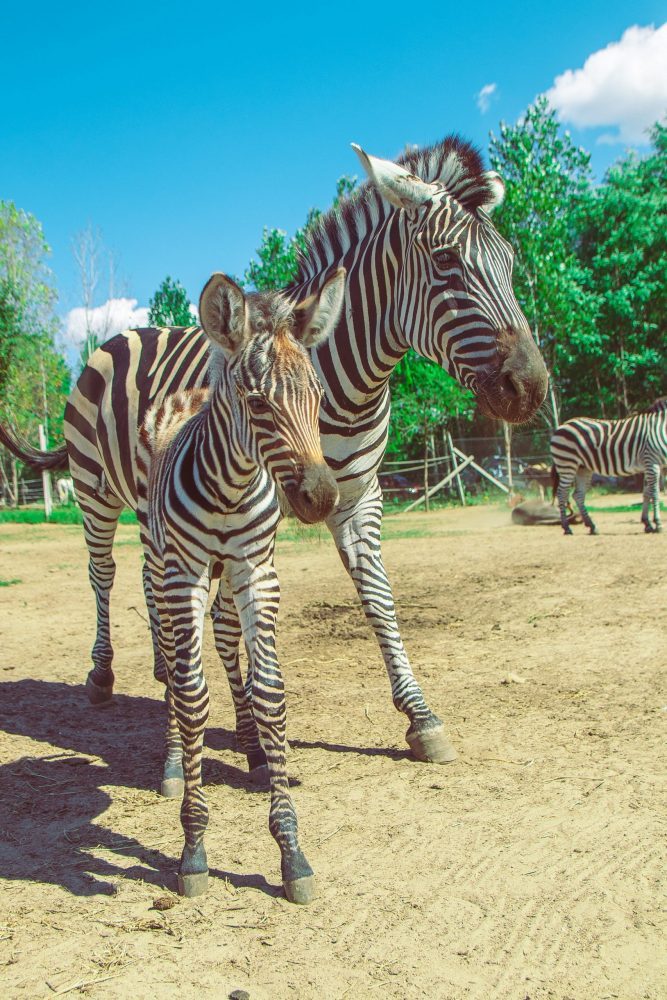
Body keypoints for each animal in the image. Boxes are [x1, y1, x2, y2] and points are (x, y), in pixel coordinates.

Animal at [0, 137, 548, 769]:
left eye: (510, 263)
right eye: (445, 261)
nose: (532, 387)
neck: (344, 384)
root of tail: (125, 332)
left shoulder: (357, 498)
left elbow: (378, 597)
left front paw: (420, 716)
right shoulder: (253, 509)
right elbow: (229, 621)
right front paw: (251, 736)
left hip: (151, 504)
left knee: (148, 576)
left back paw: (165, 666)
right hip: (94, 490)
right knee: (103, 572)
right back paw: (102, 675)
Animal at [137, 270, 344, 901]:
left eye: (318, 398)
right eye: (257, 404)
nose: (321, 498)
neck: (230, 490)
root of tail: (187, 396)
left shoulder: (258, 572)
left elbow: (270, 692)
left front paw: (290, 850)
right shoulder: (183, 575)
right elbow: (190, 695)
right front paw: (193, 847)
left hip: (226, 579)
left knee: (227, 644)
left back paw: (253, 748)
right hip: (160, 567)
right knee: (173, 664)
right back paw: (173, 766)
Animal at [551, 398, 667, 535]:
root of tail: (562, 425)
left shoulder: (648, 466)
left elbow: (646, 493)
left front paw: (647, 524)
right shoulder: (652, 463)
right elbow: (655, 493)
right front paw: (658, 524)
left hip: (582, 467)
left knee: (578, 495)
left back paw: (592, 526)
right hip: (567, 464)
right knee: (562, 493)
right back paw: (567, 528)